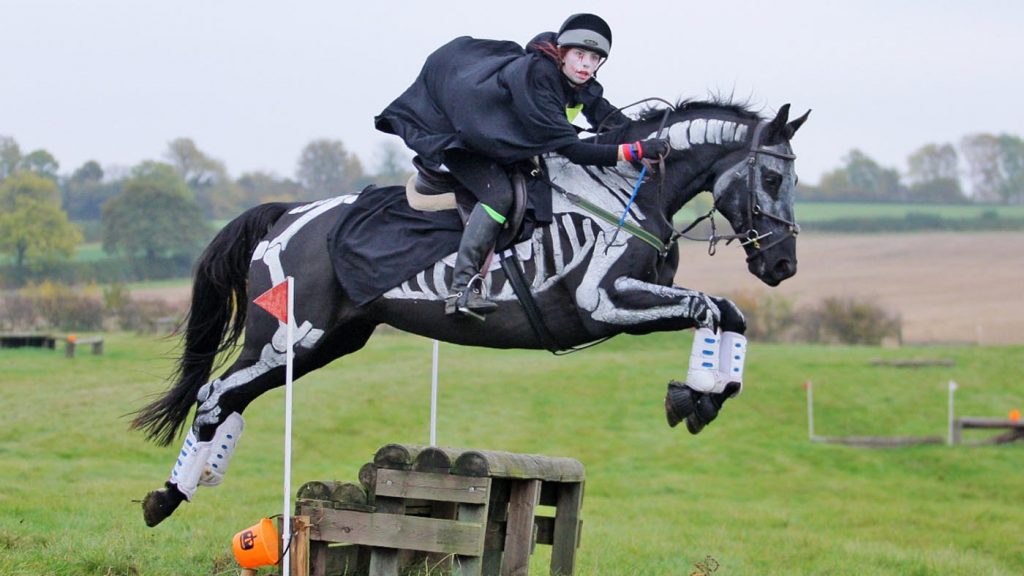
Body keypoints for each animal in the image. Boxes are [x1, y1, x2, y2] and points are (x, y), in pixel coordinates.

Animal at [133, 99, 809, 527]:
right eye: (774, 179)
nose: (782, 264)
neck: (630, 189)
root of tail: (288, 213)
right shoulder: (605, 302)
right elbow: (710, 307)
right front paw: (691, 396)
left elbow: (730, 314)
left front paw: (703, 396)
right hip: (288, 337)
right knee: (216, 394)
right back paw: (166, 498)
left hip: (326, 342)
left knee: (233, 400)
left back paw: (196, 484)